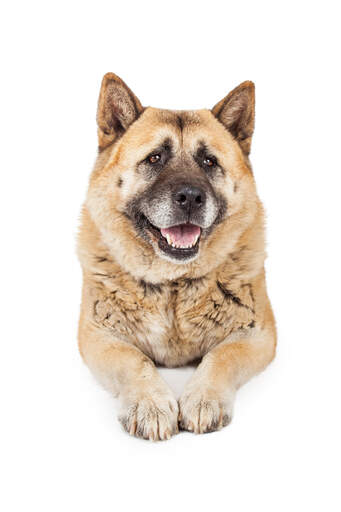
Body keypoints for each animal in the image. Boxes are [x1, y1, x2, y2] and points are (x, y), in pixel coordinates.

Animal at [76, 72, 274, 440]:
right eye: (155, 158)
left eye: (209, 162)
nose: (191, 197)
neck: (173, 286)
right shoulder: (97, 336)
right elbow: (134, 360)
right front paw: (150, 404)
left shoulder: (258, 335)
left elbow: (221, 357)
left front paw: (203, 398)